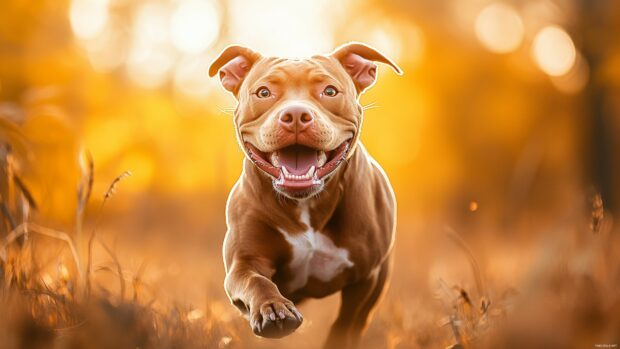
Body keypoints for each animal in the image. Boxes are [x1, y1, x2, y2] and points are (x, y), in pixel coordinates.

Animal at [209, 42, 402, 346]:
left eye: (330, 91)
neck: (306, 203)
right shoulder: (244, 263)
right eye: (264, 92)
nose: (297, 115)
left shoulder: (365, 279)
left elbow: (346, 323)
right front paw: (273, 309)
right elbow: (256, 281)